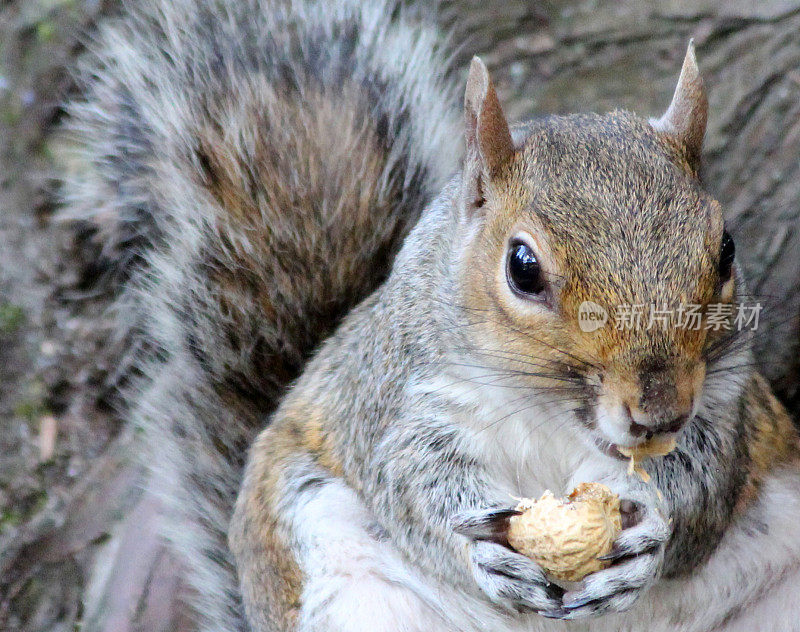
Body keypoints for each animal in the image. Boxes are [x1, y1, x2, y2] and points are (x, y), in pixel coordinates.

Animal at [62, 1, 800, 632]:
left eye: (726, 248)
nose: (658, 412)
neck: (553, 414)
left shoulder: (726, 401)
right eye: (523, 268)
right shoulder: (393, 397)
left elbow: (705, 482)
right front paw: (476, 546)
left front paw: (652, 528)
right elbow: (409, 479)